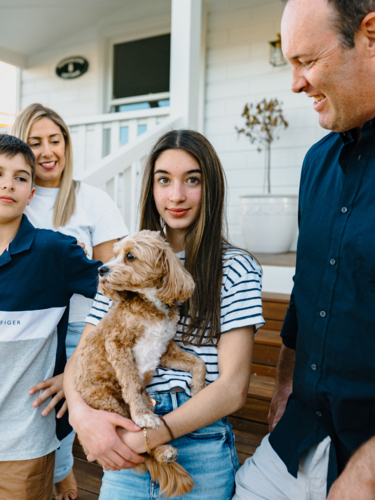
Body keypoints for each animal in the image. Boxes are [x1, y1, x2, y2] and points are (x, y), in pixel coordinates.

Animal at [75, 229, 207, 496]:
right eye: (114, 254)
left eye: (130, 256)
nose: (101, 269)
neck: (150, 301)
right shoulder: (118, 345)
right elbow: (131, 384)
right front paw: (141, 415)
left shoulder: (166, 349)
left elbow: (199, 363)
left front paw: (198, 389)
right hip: (107, 403)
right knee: (135, 444)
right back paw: (159, 445)